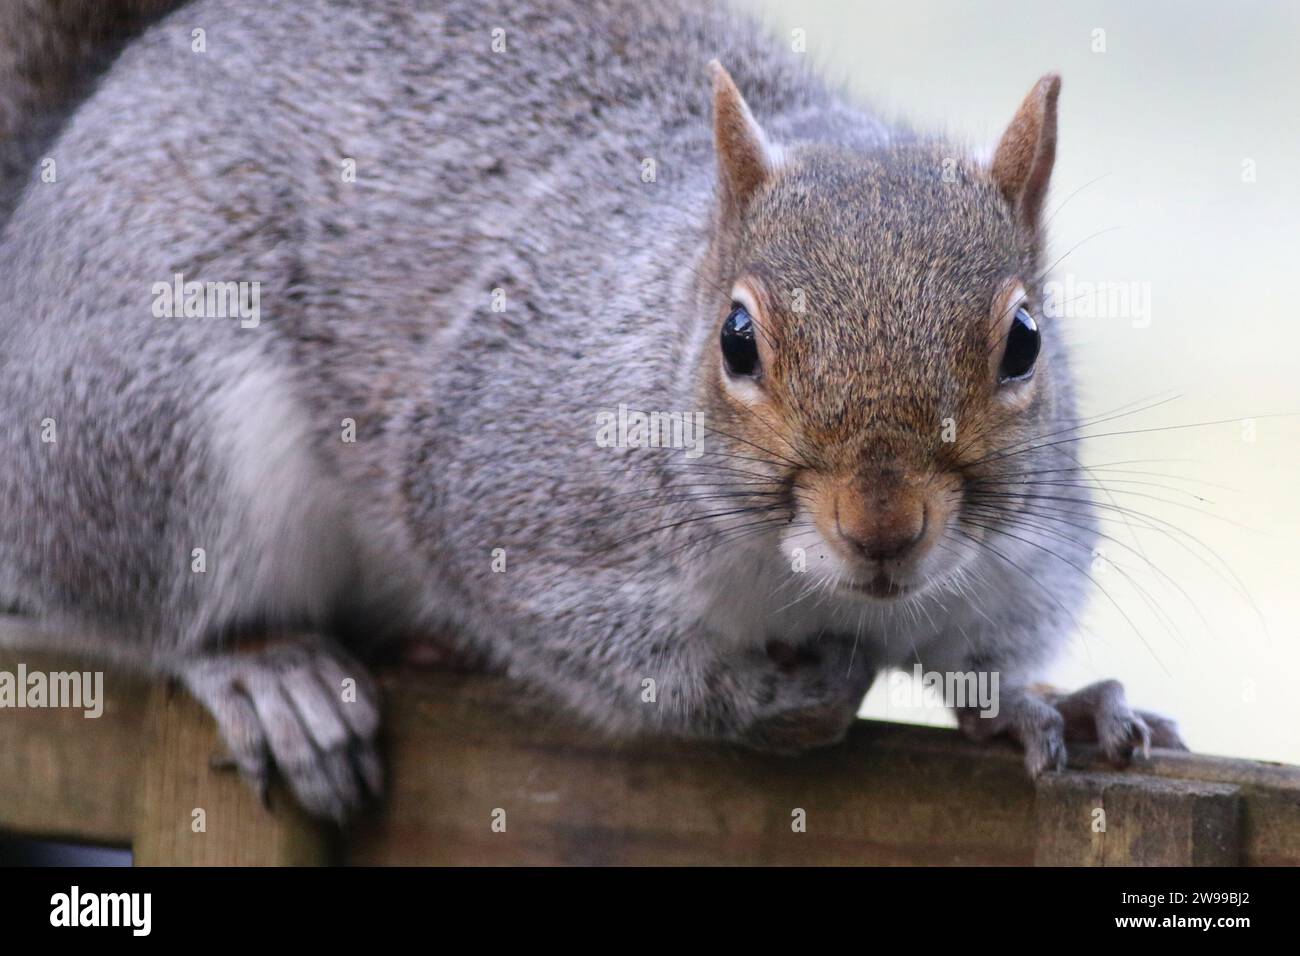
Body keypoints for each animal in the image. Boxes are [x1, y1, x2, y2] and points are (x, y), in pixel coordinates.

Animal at [0, 0, 1186, 822]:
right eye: (737, 339)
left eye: (1024, 340)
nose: (883, 526)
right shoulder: (513, 494)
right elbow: (599, 645)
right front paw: (753, 702)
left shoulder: (1016, 550)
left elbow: (982, 646)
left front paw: (1042, 703)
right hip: (153, 425)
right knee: (127, 603)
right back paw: (264, 669)